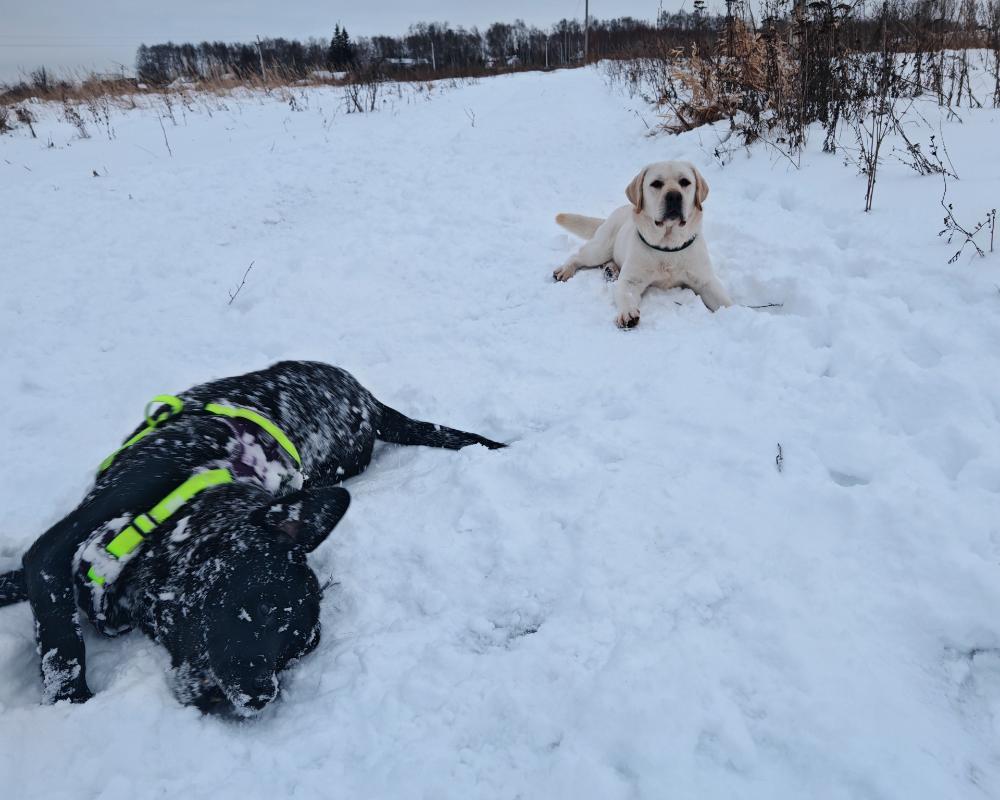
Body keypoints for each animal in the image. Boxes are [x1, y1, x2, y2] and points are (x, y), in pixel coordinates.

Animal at [0, 360, 504, 713]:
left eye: (297, 652)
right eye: (261, 607)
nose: (262, 696)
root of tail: (372, 403)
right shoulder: (49, 556)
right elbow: (61, 644)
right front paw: (72, 706)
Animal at [552, 160, 732, 327]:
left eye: (685, 182)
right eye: (656, 183)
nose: (674, 196)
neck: (667, 247)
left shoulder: (706, 281)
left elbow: (726, 302)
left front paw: (736, 312)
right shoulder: (630, 281)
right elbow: (625, 295)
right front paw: (627, 313)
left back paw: (611, 270)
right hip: (600, 248)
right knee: (577, 255)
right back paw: (565, 270)